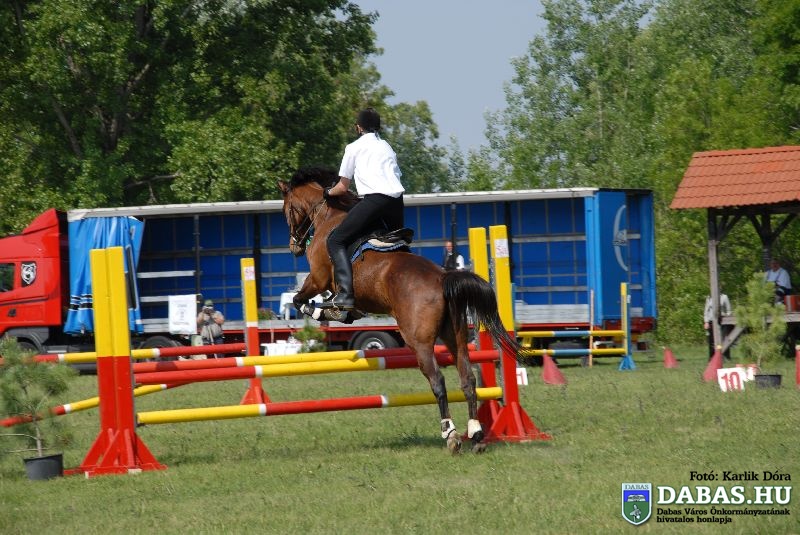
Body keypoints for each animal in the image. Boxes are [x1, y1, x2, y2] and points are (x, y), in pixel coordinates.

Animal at [277, 167, 522, 453]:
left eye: (287, 209)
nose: (294, 247)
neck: (329, 216)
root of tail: (443, 278)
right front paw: (341, 312)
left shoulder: (317, 279)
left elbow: (299, 299)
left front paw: (322, 311)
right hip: (456, 336)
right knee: (468, 379)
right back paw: (476, 434)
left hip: (419, 342)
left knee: (438, 381)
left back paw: (450, 434)